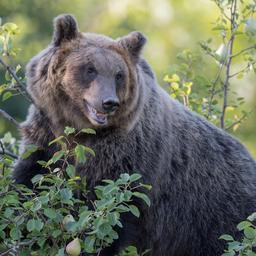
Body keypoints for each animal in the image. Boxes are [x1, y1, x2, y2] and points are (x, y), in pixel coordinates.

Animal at [13, 14, 256, 256]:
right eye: (90, 69)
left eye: (118, 75)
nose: (109, 102)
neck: (82, 132)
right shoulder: (46, 135)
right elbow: (30, 180)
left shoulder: (129, 157)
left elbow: (114, 211)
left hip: (219, 217)